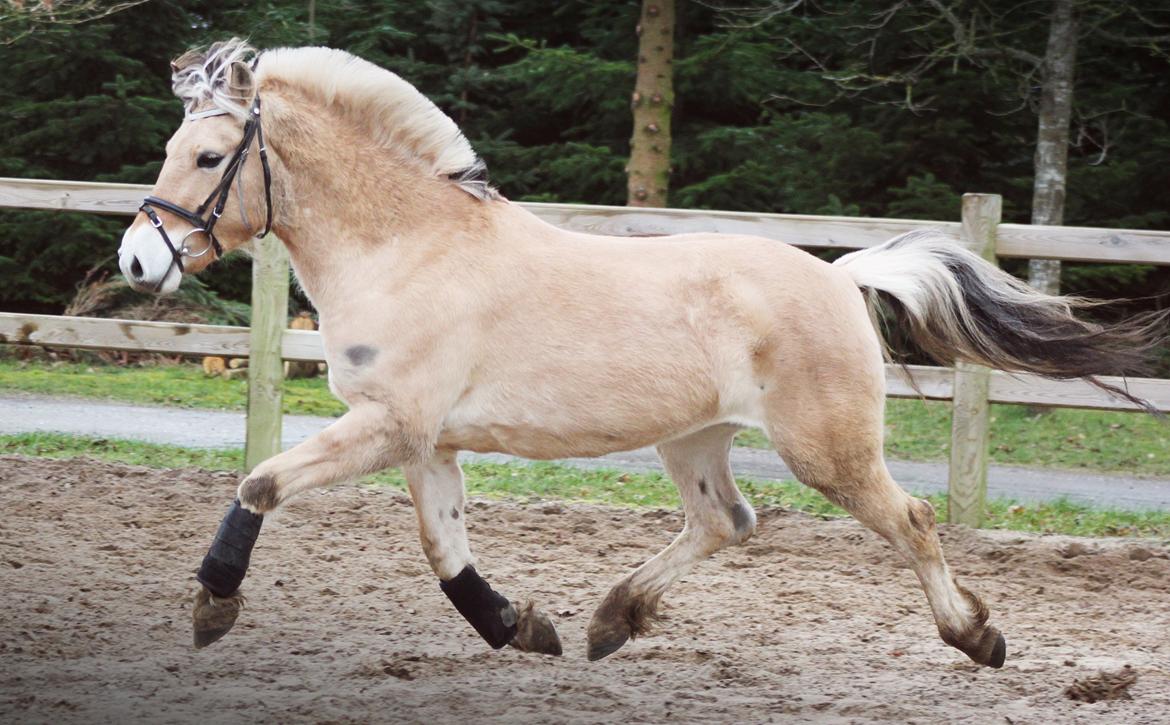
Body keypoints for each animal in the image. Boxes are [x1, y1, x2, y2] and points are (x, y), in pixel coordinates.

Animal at [116, 39, 1160, 668]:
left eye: (207, 158)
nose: (137, 258)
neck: (409, 246)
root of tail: (838, 276)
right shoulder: (426, 441)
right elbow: (444, 547)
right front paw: (522, 628)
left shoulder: (389, 425)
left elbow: (259, 482)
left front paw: (212, 609)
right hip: (692, 438)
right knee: (726, 521)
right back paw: (612, 619)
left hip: (826, 448)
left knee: (910, 519)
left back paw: (976, 637)